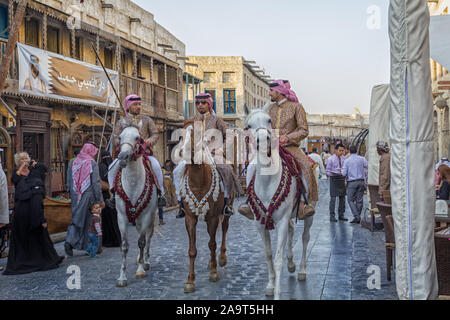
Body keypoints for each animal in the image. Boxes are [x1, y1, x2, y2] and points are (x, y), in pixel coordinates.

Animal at [112, 125, 158, 288]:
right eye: (120, 137)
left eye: (137, 137)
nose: (123, 157)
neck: (132, 184)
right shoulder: (121, 217)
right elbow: (125, 245)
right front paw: (122, 277)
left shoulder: (146, 216)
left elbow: (142, 242)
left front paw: (140, 271)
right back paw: (140, 259)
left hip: (150, 218)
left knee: (148, 237)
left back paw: (146, 261)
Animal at [179, 124, 232, 294]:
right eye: (180, 136)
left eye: (196, 134)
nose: (183, 152)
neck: (198, 182)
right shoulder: (189, 218)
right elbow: (192, 250)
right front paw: (190, 281)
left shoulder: (213, 217)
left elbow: (212, 244)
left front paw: (214, 273)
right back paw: (211, 261)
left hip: (226, 213)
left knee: (223, 230)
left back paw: (221, 258)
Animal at [243, 108, 316, 300]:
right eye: (248, 125)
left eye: (269, 120)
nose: (263, 141)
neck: (268, 180)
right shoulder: (260, 223)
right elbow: (268, 255)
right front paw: (270, 286)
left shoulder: (281, 221)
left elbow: (277, 259)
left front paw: (277, 293)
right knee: (292, 229)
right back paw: (291, 263)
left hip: (309, 213)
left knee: (305, 238)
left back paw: (302, 270)